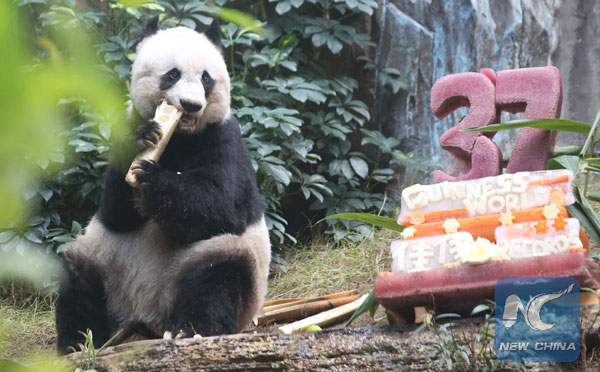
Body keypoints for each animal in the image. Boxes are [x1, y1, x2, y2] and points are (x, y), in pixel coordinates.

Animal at [56, 18, 272, 354]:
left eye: (206, 79)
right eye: (173, 74)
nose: (191, 105)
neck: (180, 138)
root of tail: (146, 318)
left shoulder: (224, 139)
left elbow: (223, 207)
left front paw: (152, 179)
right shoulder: (126, 127)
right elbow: (116, 212)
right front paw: (143, 143)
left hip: (214, 264)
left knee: (219, 274)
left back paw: (193, 329)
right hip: (103, 259)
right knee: (79, 279)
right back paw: (79, 342)